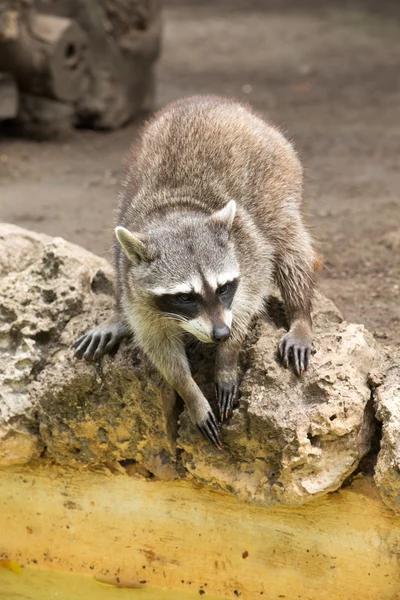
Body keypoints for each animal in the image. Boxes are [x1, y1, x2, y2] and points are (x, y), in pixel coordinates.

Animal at [74, 96, 318, 448]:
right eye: (185, 297)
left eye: (223, 288)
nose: (221, 334)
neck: (177, 213)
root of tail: (211, 100)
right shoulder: (140, 293)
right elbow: (159, 347)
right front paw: (190, 393)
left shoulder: (248, 255)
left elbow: (246, 305)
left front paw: (227, 358)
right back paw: (118, 316)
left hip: (279, 176)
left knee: (290, 245)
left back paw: (300, 313)